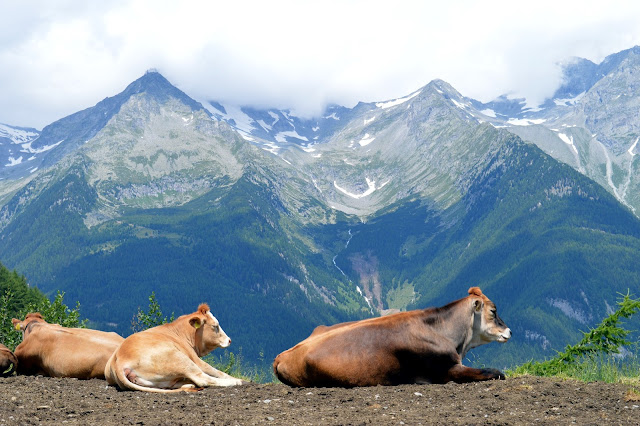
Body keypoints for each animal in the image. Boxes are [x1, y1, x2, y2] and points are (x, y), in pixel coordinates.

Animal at [105, 302, 245, 392]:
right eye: (215, 326)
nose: (229, 340)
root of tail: (119, 360)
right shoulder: (196, 360)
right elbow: (217, 372)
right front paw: (236, 379)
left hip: (157, 380)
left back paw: (189, 385)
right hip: (180, 359)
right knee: (202, 379)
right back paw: (236, 382)